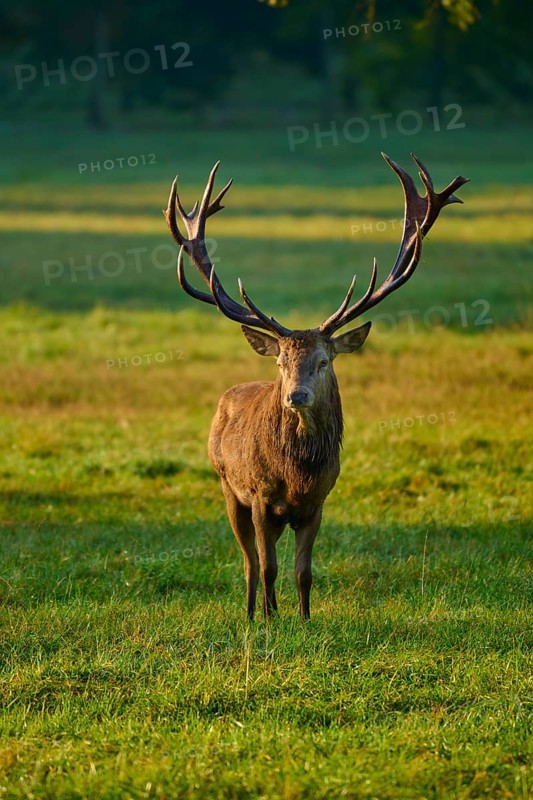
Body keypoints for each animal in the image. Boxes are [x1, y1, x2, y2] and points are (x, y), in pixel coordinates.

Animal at [164, 153, 468, 620]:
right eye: (281, 363)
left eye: (324, 361)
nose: (296, 395)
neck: (297, 474)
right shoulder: (261, 497)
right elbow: (268, 566)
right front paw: (271, 619)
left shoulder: (319, 502)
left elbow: (303, 571)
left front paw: (305, 619)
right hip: (226, 486)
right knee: (249, 561)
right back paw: (251, 613)